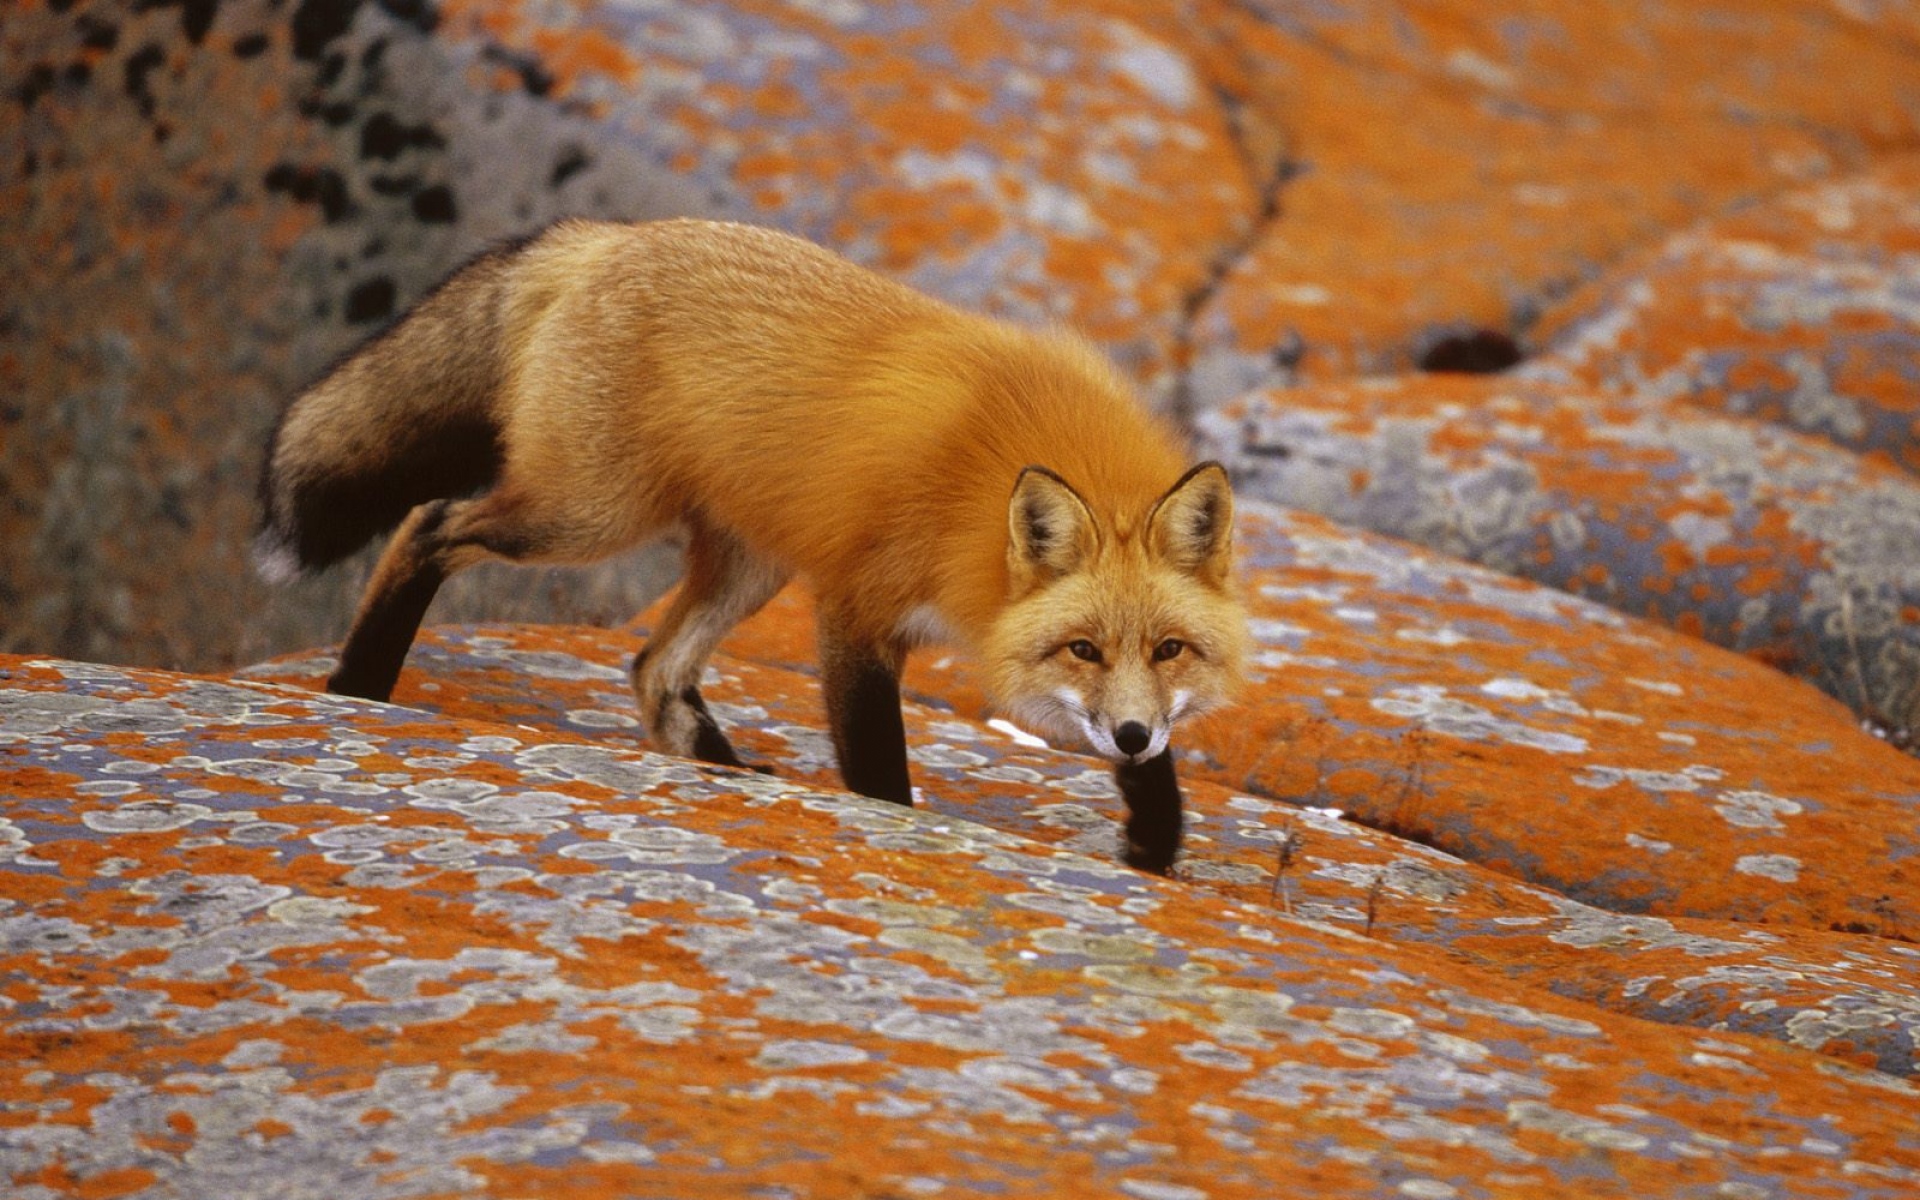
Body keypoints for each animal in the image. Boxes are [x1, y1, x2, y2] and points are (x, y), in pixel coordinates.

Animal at [251, 217, 1244, 871]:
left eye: (1169, 649)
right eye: (1082, 648)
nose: (1127, 733)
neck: (983, 490)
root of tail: (608, 235)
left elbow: (1160, 770)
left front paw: (1155, 839)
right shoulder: (854, 605)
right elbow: (877, 764)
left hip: (747, 563)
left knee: (654, 666)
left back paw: (729, 776)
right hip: (586, 516)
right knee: (428, 525)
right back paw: (359, 683)